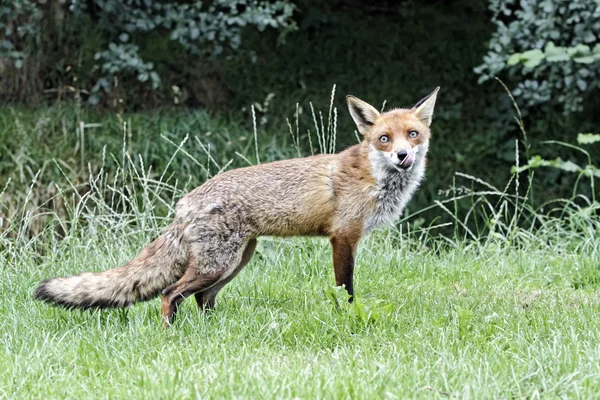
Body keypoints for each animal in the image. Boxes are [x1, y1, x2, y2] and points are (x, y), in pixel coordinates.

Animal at [36, 86, 440, 324]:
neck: (374, 176)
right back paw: (171, 334)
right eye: (384, 138)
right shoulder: (343, 237)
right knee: (171, 294)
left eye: (412, 135)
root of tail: (184, 202)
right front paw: (348, 319)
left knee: (201, 299)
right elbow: (346, 290)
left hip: (236, 261)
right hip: (219, 264)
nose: (403, 155)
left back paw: (212, 332)